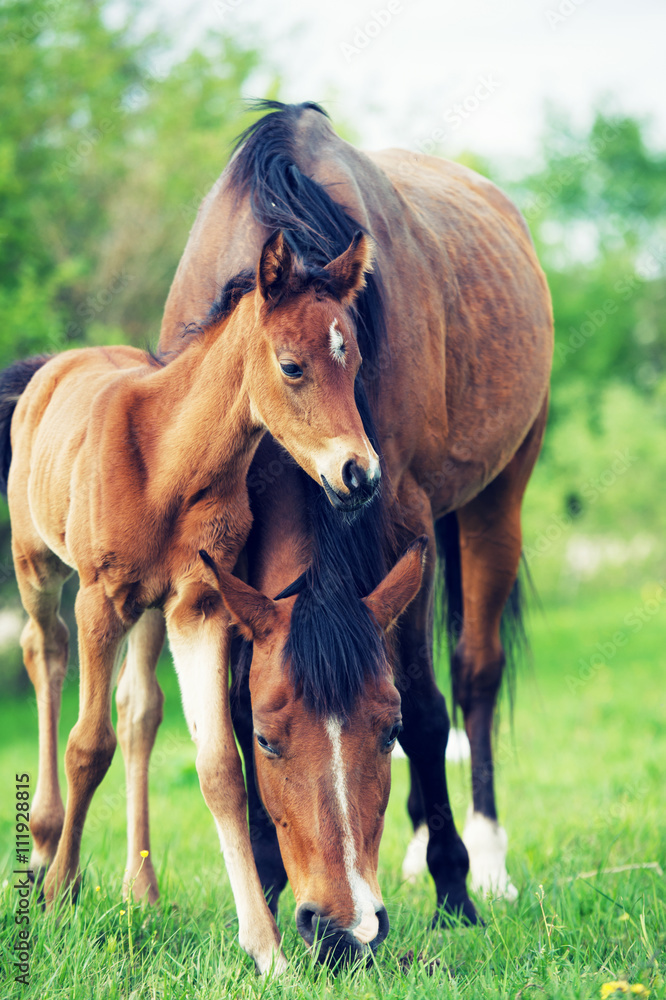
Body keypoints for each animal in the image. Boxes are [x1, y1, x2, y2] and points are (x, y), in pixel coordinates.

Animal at [0, 227, 387, 975]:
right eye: (292, 367)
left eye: (353, 362)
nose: (359, 475)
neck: (168, 464)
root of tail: (55, 366)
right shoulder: (100, 600)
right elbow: (87, 744)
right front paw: (60, 894)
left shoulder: (199, 606)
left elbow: (219, 769)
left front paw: (267, 950)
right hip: (39, 566)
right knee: (43, 652)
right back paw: (43, 847)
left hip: (150, 614)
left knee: (139, 710)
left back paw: (140, 889)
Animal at [116, 101, 552, 965]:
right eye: (272, 741)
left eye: (381, 734)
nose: (346, 930)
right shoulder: (222, 557)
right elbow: (229, 712)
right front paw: (265, 882)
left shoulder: (404, 522)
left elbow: (428, 709)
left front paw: (453, 888)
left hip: (496, 499)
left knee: (475, 675)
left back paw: (483, 861)